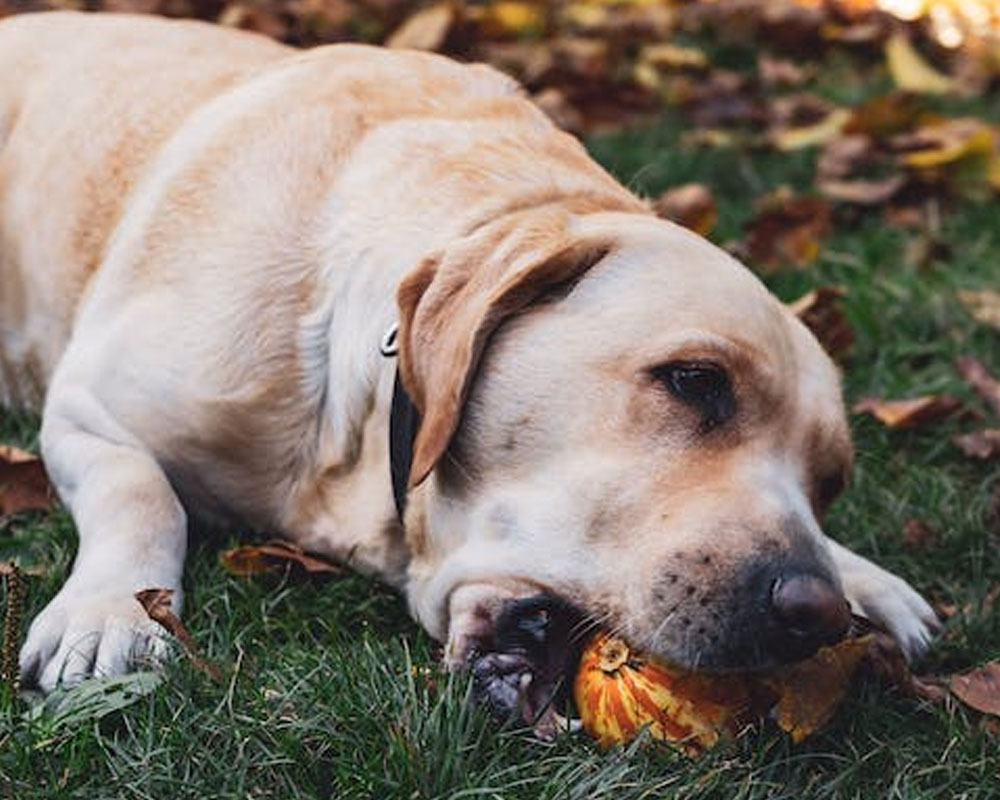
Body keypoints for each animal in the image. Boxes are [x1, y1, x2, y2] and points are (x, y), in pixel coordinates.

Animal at [3, 10, 932, 712]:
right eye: (695, 381)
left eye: (830, 483)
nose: (815, 613)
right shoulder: (89, 408)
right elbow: (142, 493)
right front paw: (112, 612)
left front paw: (865, 578)